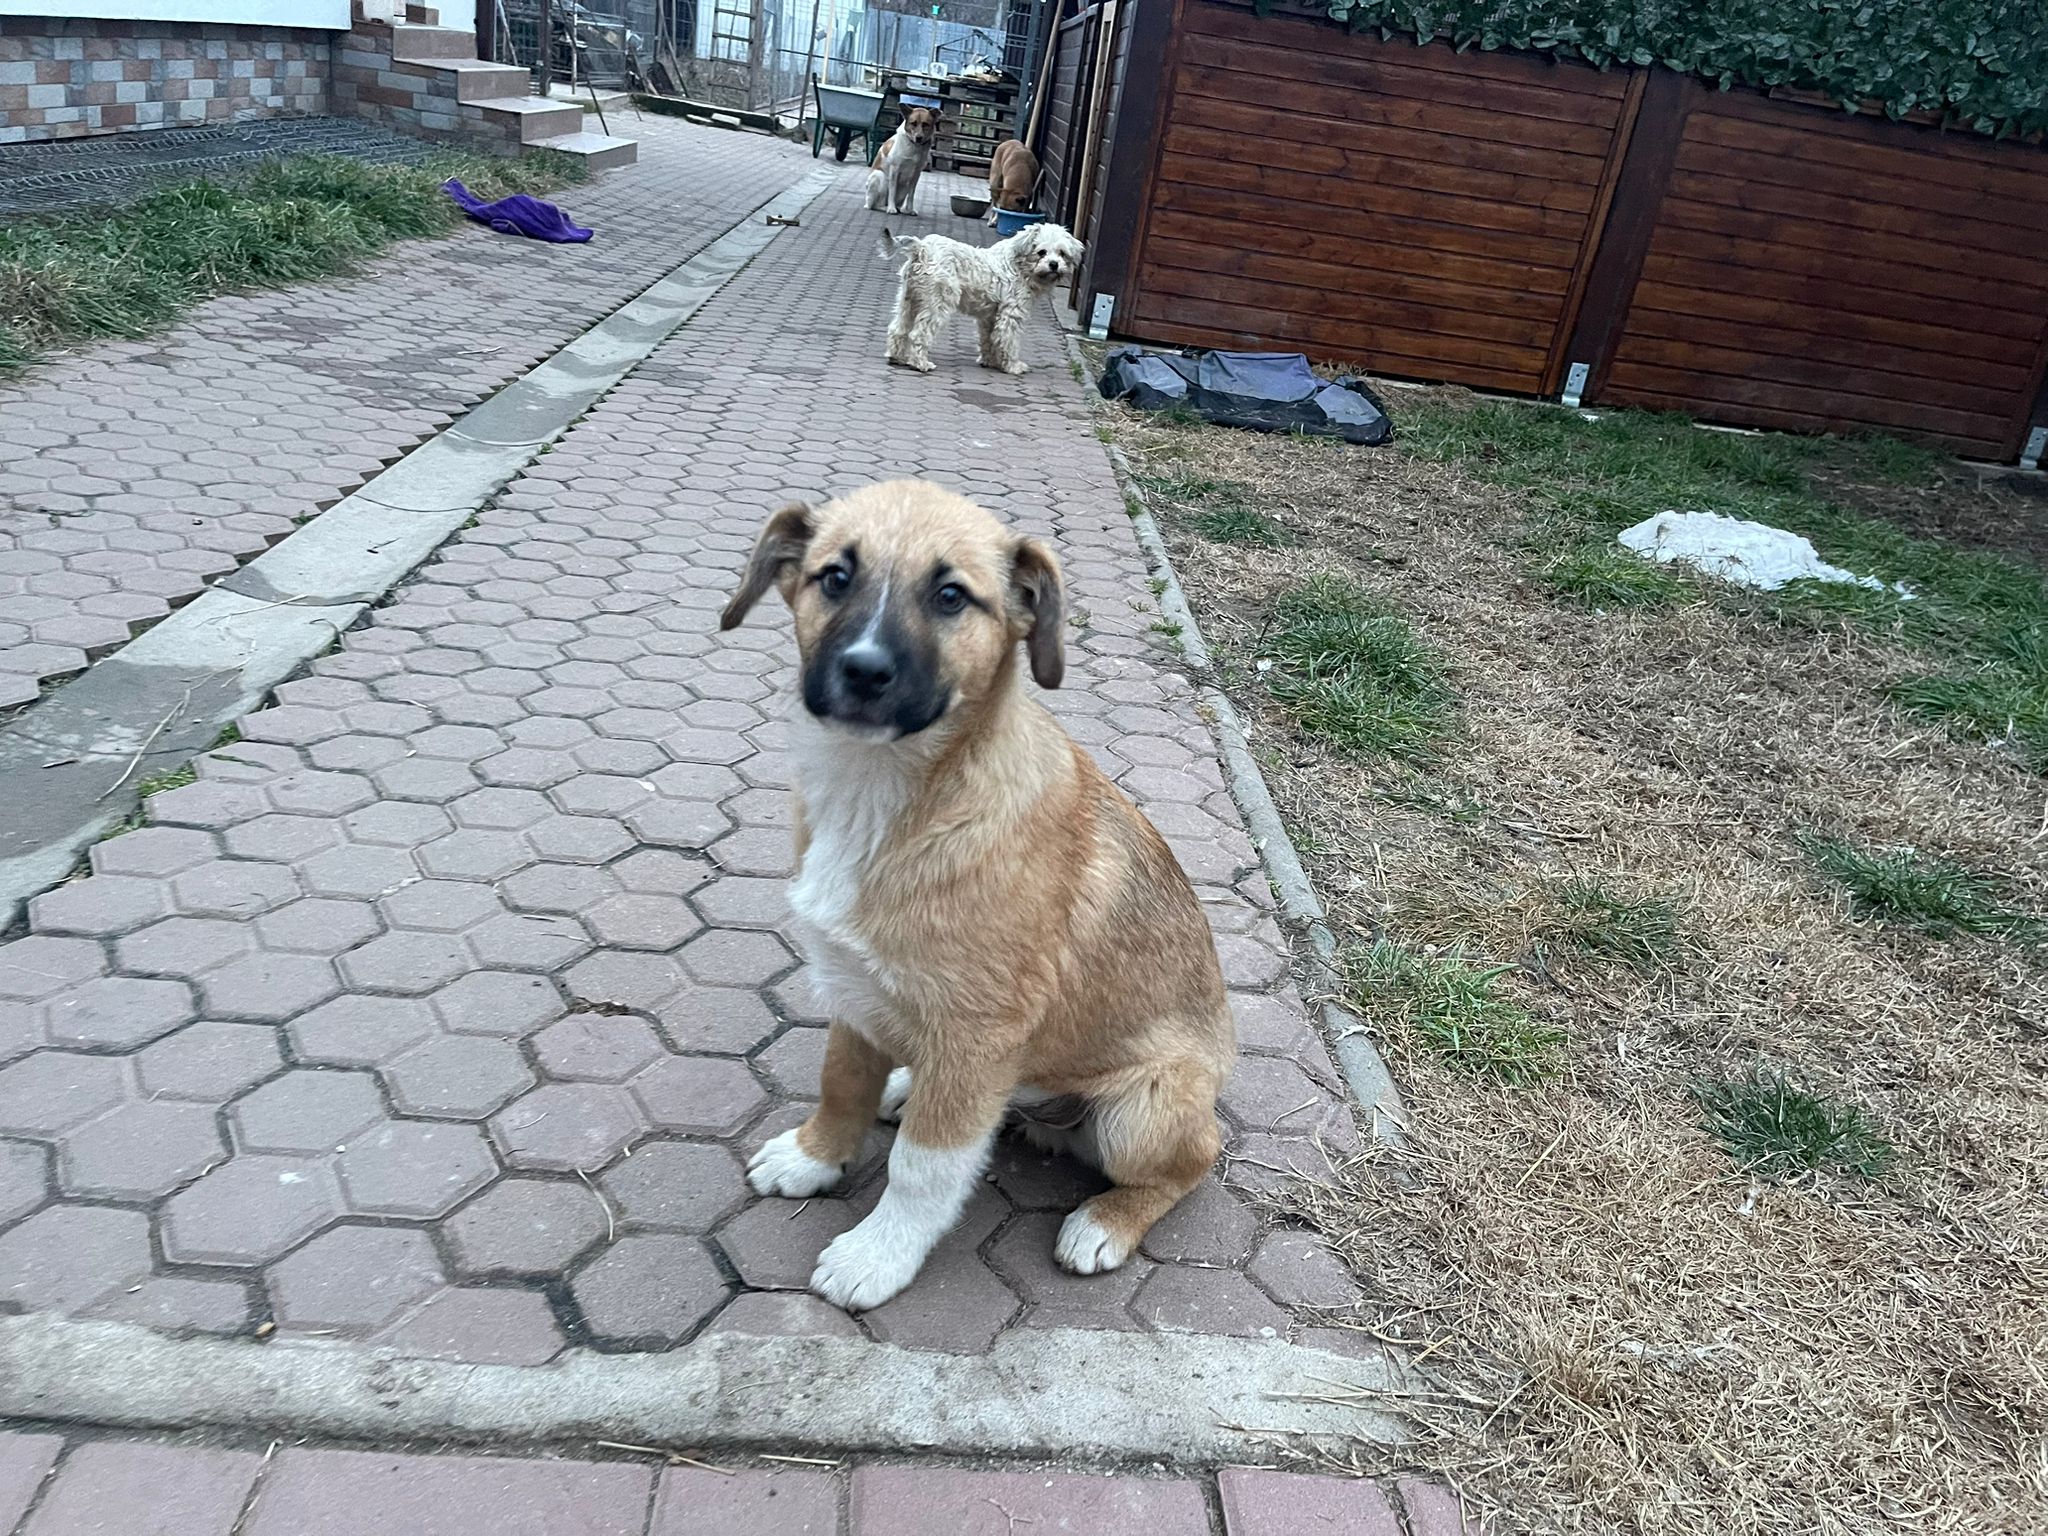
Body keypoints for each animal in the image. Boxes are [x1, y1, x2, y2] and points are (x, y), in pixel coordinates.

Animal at [721, 480, 1234, 1311]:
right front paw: (813, 1157)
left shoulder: (977, 1032)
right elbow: (841, 1085)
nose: (864, 671)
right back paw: (907, 1085)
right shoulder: (854, 991)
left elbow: (922, 1167)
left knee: (1192, 1163)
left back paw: (1104, 1224)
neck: (887, 795)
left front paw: (877, 1255)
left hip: (1142, 1111)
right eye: (835, 577)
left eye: (951, 596)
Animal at [880, 221, 1085, 374]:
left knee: (898, 329)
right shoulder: (1011, 316)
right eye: (1042, 252)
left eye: (1062, 253)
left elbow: (990, 339)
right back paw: (920, 363)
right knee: (918, 335)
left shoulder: (989, 318)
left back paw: (896, 357)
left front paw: (990, 361)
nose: (1054, 264)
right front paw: (1012, 366)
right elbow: (1008, 340)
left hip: (909, 301)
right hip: (937, 304)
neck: (1019, 267)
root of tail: (922, 248)